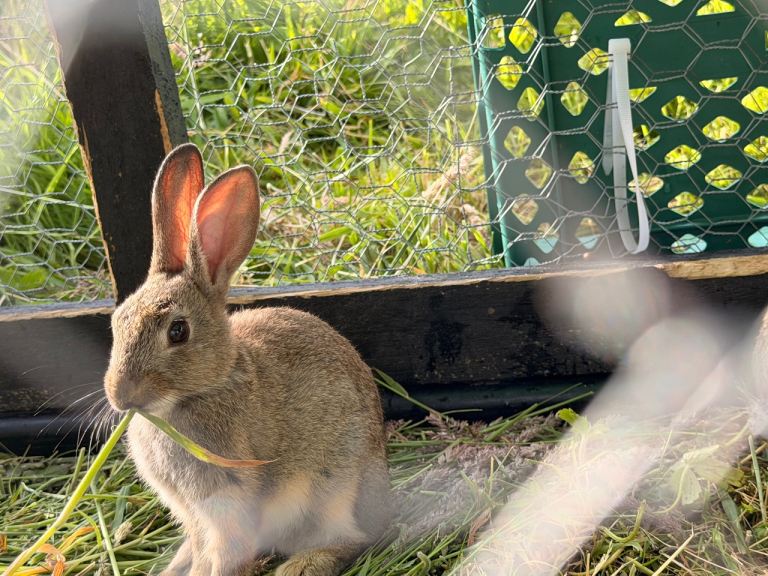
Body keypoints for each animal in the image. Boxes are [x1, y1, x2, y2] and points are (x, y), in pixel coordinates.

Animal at [103, 143, 391, 576]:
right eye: (117, 322)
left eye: (178, 331)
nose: (120, 396)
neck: (207, 387)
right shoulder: (194, 515)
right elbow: (198, 549)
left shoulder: (230, 500)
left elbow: (224, 555)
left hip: (335, 486)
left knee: (351, 538)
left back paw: (300, 567)